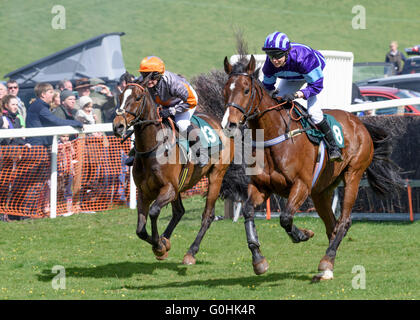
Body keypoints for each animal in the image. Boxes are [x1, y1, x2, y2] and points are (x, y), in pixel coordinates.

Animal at [113, 80, 235, 264]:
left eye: (138, 97)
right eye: (120, 96)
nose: (118, 125)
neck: (153, 148)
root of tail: (218, 123)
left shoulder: (168, 188)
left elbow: (154, 211)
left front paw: (159, 245)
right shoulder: (145, 192)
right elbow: (140, 230)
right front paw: (161, 244)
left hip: (216, 176)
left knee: (207, 216)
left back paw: (191, 252)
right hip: (180, 185)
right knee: (179, 212)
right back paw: (166, 238)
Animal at [221, 56, 402, 282]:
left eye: (246, 90)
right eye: (225, 90)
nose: (230, 124)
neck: (275, 137)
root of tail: (359, 122)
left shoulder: (301, 185)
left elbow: (285, 217)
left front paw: (302, 234)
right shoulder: (261, 186)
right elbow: (247, 211)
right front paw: (258, 260)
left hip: (353, 175)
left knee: (344, 221)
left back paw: (326, 261)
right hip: (321, 191)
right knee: (332, 225)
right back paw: (327, 267)